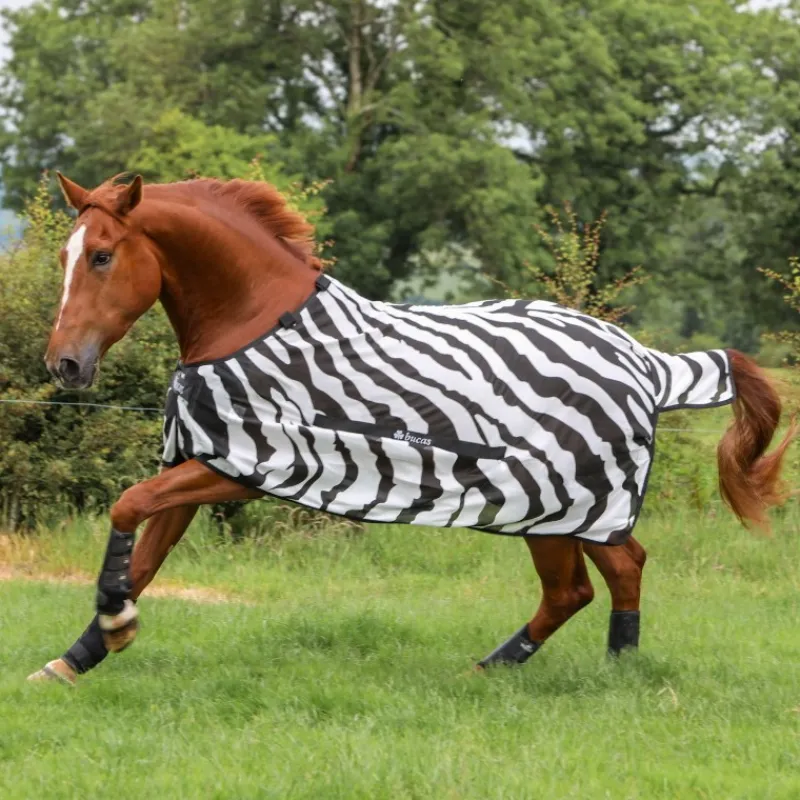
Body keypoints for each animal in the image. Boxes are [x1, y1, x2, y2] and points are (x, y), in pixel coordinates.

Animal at [28, 172, 795, 685]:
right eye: (66, 257)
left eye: (102, 256)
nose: (63, 365)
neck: (250, 321)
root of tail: (648, 361)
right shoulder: (201, 461)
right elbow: (145, 552)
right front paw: (77, 657)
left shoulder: (244, 467)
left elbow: (125, 508)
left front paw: (115, 627)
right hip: (575, 510)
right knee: (612, 572)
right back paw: (591, 665)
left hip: (559, 504)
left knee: (580, 586)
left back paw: (508, 670)